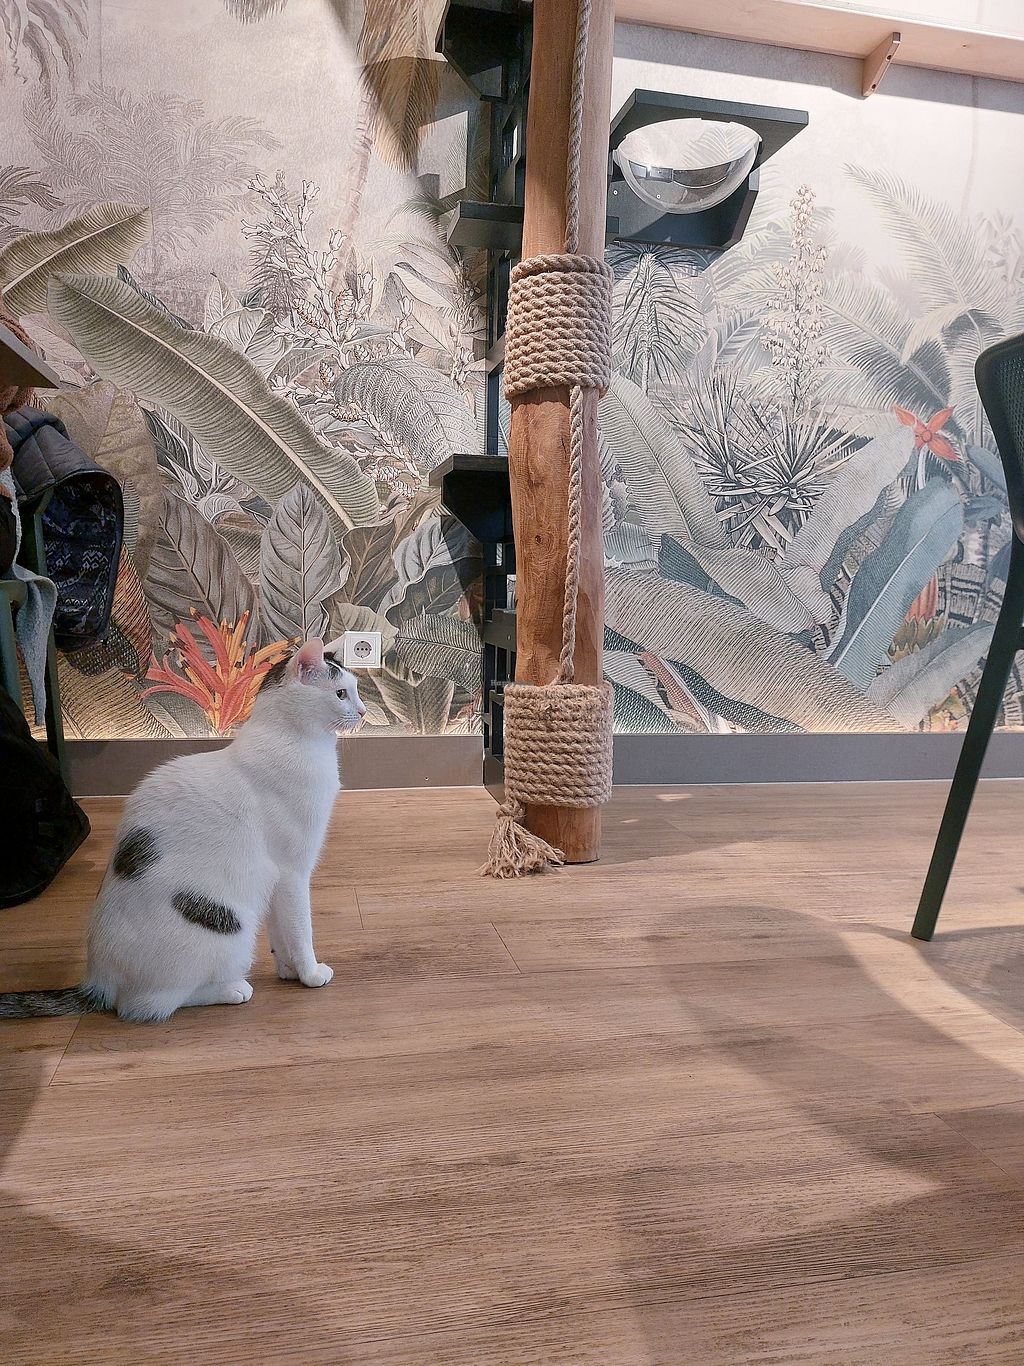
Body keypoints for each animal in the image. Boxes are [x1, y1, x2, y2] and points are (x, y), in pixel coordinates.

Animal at [0, 637, 365, 1022]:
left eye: (356, 690)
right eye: (341, 693)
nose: (364, 711)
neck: (293, 740)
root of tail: (98, 980)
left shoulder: (277, 883)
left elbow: (281, 934)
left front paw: (288, 971)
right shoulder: (293, 872)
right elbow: (299, 929)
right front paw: (310, 974)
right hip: (229, 928)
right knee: (146, 1005)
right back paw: (231, 989)